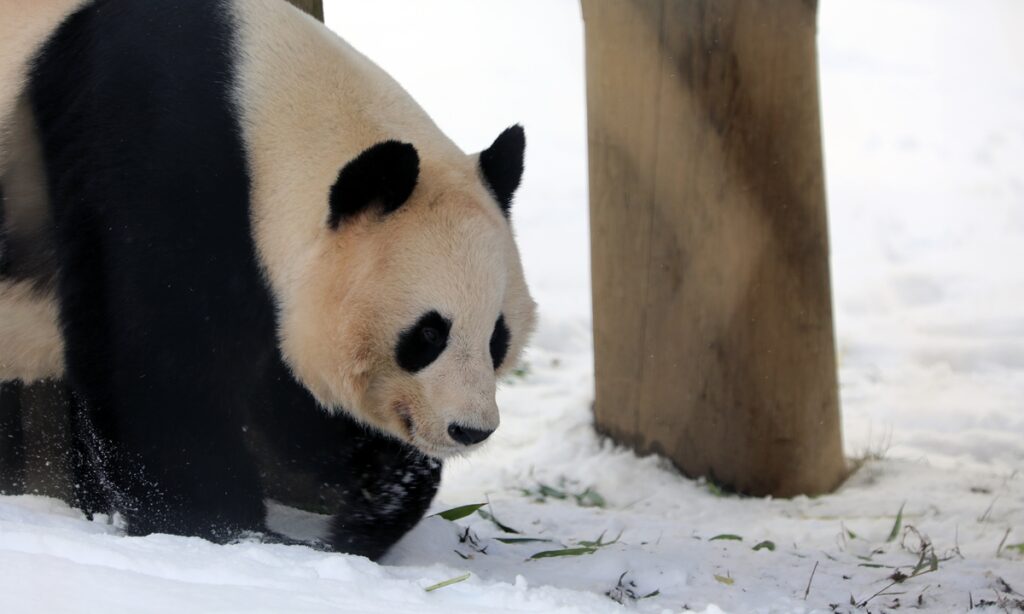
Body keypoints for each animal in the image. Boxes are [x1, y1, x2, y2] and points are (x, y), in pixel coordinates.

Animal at [0, 0, 540, 560]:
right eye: (429, 334)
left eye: (497, 338)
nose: (470, 429)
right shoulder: (148, 157)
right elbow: (155, 368)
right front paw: (227, 532)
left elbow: (289, 402)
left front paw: (374, 505)